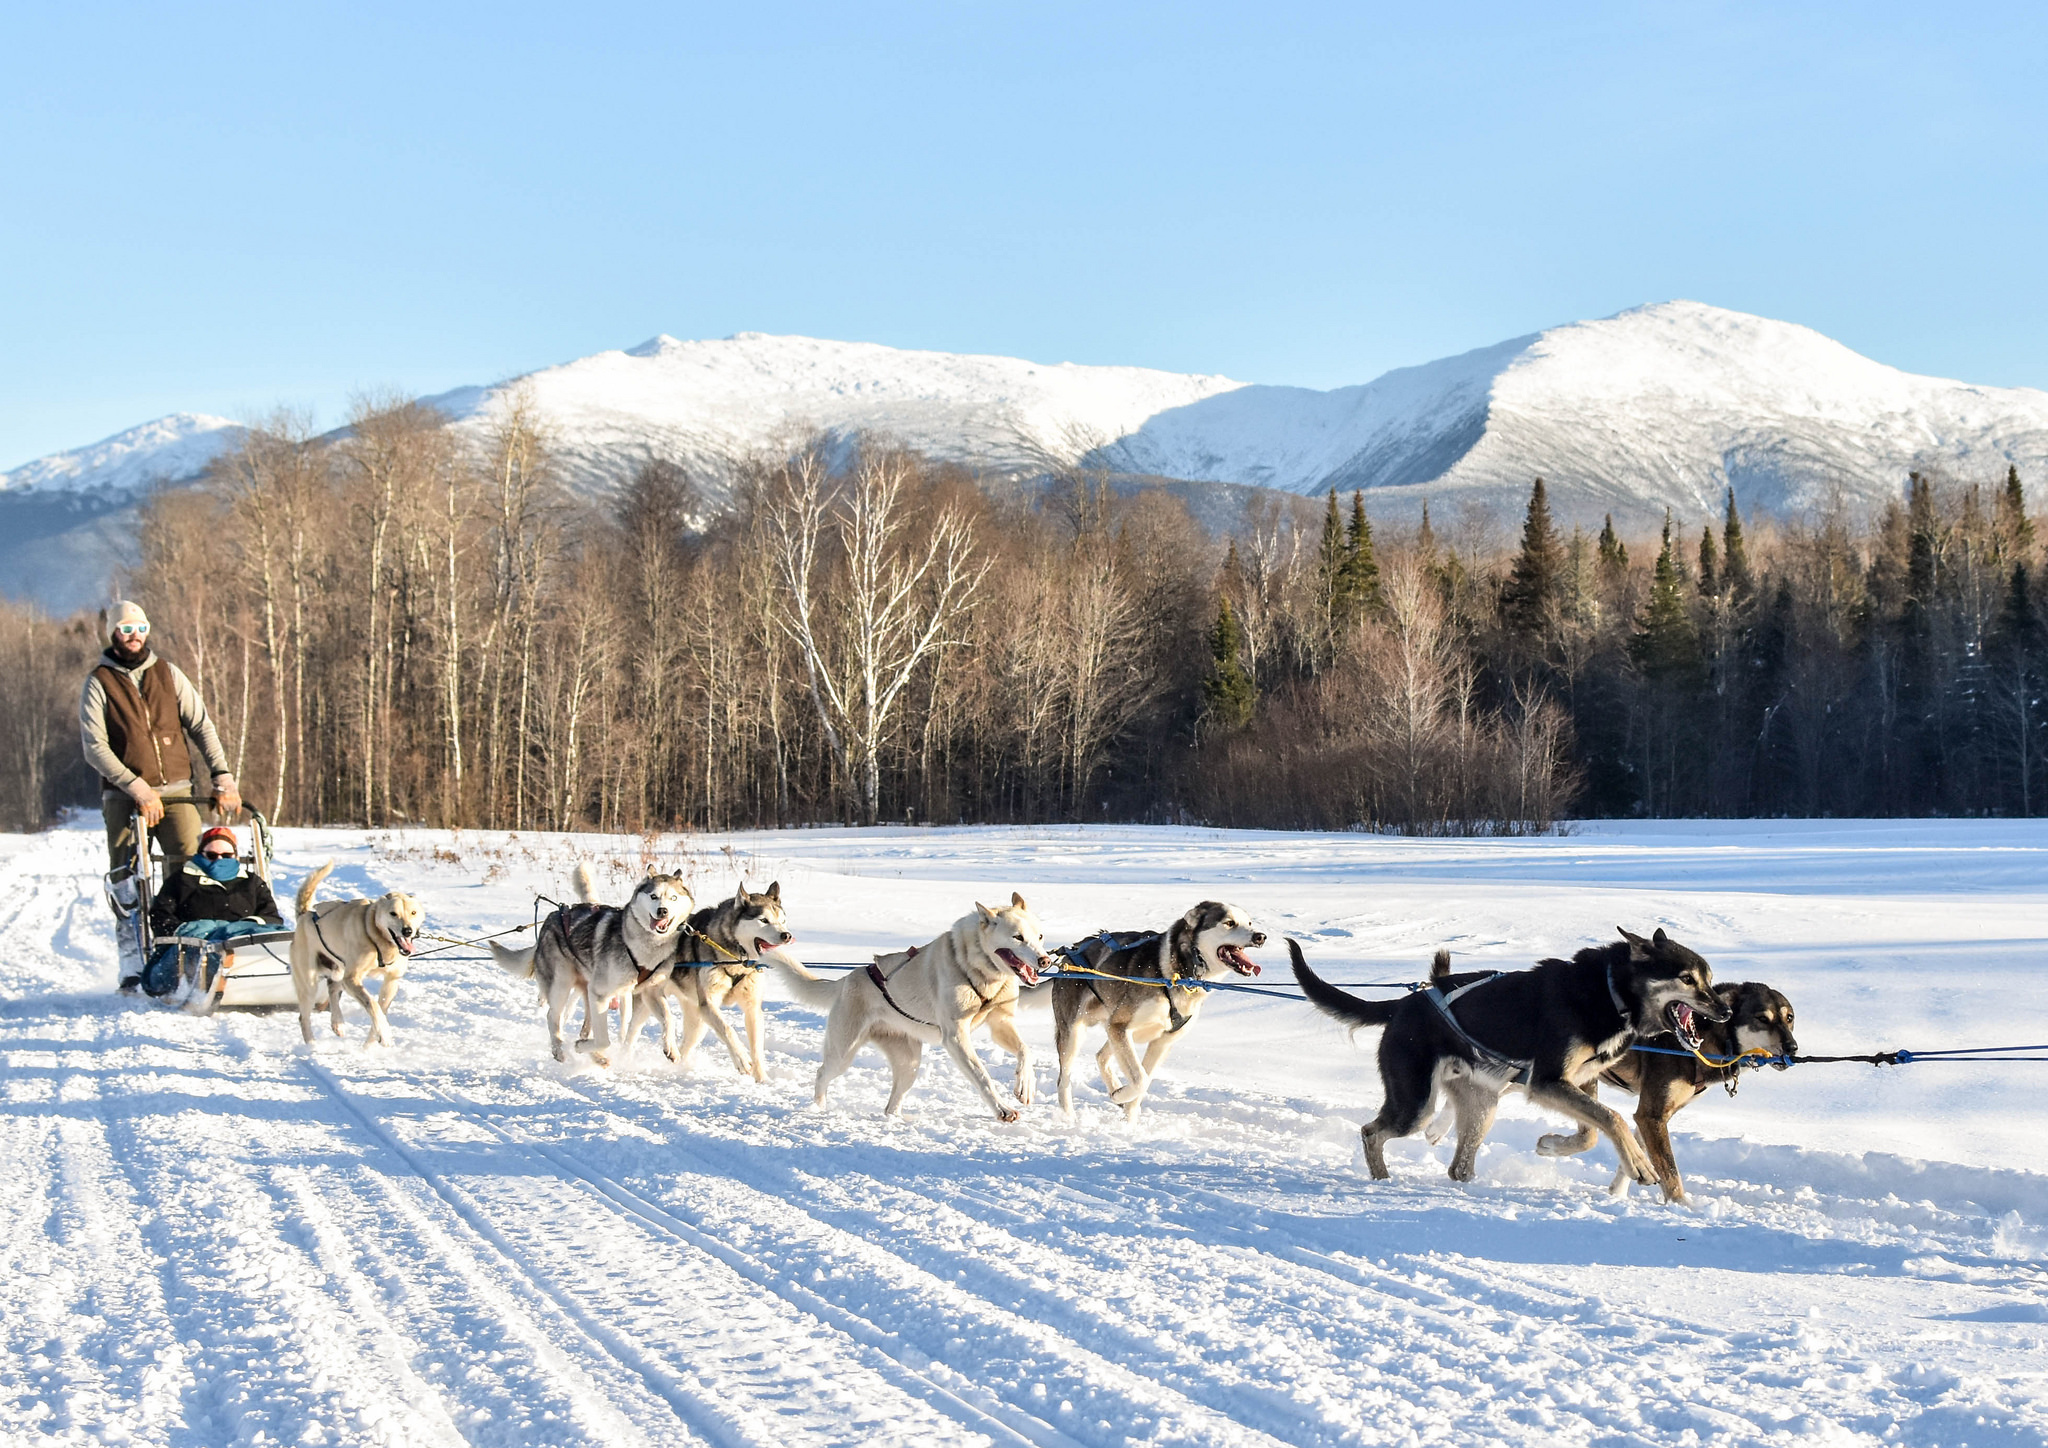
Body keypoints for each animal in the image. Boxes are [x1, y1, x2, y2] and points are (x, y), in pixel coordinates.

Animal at [292, 856, 423, 1048]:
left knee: (332, 989)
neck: (377, 939)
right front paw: (384, 1034)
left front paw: (370, 1044)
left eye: (413, 912)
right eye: (393, 913)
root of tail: (305, 914)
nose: (407, 931)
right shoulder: (352, 978)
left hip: (339, 970)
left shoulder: (391, 980)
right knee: (304, 1017)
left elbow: (381, 1008)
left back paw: (338, 1023)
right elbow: (372, 1004)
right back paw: (312, 1045)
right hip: (310, 984)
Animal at [491, 860, 692, 1065]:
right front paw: (581, 1047)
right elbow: (604, 1039)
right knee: (553, 1016)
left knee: (586, 1027)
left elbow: (669, 1019)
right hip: (562, 983)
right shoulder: (601, 994)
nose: (662, 911)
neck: (645, 948)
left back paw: (596, 1056)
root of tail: (552, 916)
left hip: (588, 991)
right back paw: (560, 1049)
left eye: (673, 898)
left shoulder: (650, 992)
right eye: (653, 896)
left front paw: (672, 1049)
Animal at [770, 892, 1048, 1122]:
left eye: (1040, 936)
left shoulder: (1000, 1023)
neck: (980, 969)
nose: (1045, 960)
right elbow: (982, 1076)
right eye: (1018, 937)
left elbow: (1025, 1050)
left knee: (892, 1104)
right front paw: (1003, 1109)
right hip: (843, 1053)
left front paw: (1026, 1085)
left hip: (909, 1064)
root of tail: (848, 979)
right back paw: (818, 1108)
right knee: (821, 1074)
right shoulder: (955, 1036)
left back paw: (896, 1119)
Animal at [1294, 929, 1728, 1187]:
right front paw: (1640, 1163)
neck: (1611, 994)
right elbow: (1613, 1119)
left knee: (1459, 1165)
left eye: (1709, 979)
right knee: (1372, 1132)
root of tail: (1404, 1004)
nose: (1724, 1011)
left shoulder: (1579, 1079)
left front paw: (1553, 1145)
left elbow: (1593, 1130)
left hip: (1482, 1106)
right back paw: (1382, 1179)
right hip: (1416, 1105)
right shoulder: (1549, 1081)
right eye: (1687, 979)